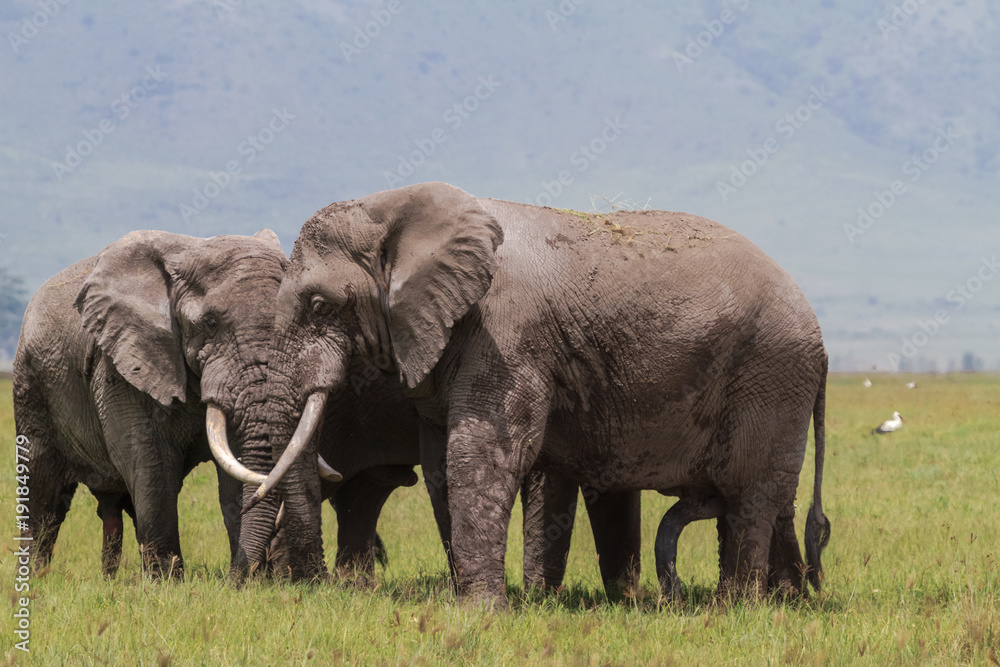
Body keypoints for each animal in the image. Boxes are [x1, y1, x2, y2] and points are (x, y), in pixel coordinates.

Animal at [12, 230, 295, 578]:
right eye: (210, 323)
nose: (238, 578)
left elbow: (236, 466)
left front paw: (254, 581)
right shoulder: (122, 364)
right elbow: (150, 462)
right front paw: (168, 582)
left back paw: (110, 580)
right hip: (32, 386)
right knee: (42, 493)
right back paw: (34, 581)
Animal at [245, 181, 830, 608]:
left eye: (320, 306)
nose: (309, 586)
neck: (393, 207)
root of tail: (820, 338)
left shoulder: (507, 335)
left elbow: (481, 454)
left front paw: (483, 612)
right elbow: (439, 467)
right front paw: (485, 603)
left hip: (770, 374)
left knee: (749, 493)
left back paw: (738, 607)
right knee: (771, 496)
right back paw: (787, 600)